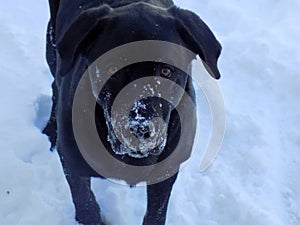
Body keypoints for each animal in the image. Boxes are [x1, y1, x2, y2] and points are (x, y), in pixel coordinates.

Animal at [43, 0, 221, 224]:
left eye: (166, 71)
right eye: (111, 68)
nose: (139, 129)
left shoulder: (167, 171)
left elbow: (156, 214)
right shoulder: (72, 161)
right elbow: (86, 204)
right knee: (54, 84)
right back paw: (51, 129)